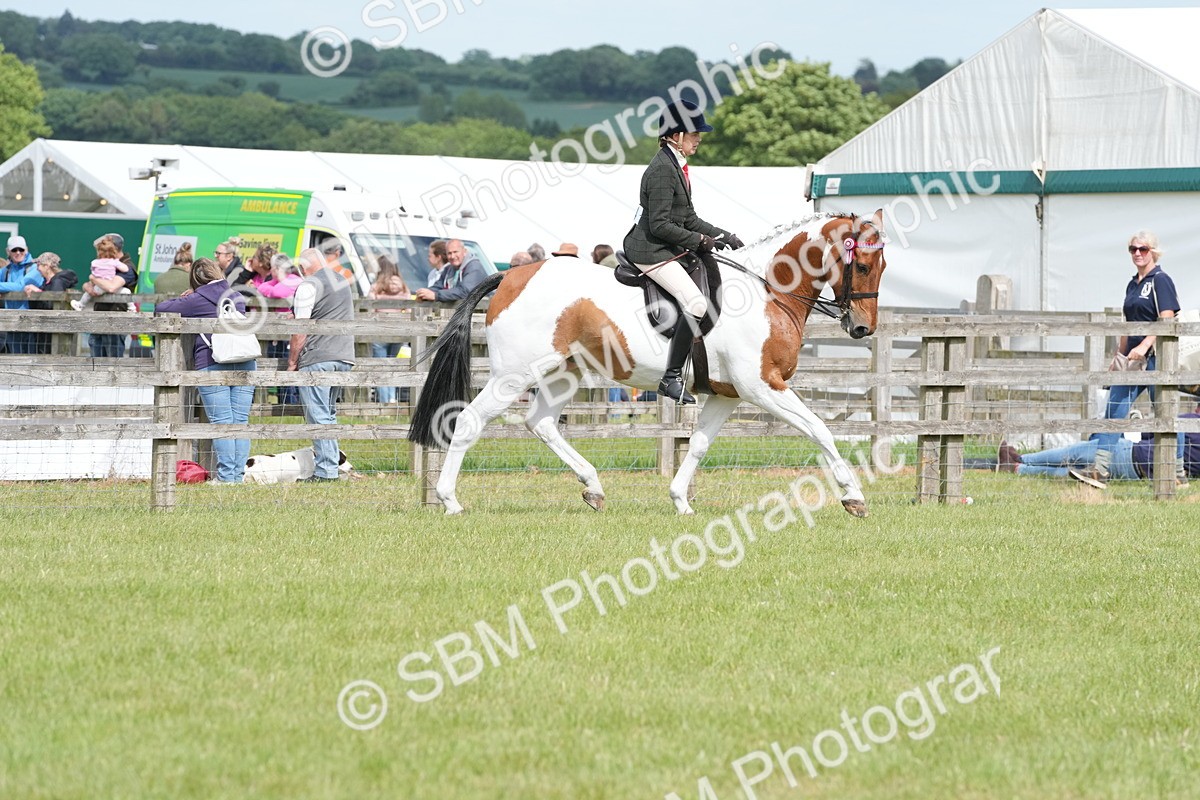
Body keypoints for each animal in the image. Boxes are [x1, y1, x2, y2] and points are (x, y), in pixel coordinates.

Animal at [408, 210, 888, 517]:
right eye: (863, 265)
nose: (863, 328)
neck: (767, 290)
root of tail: (510, 275)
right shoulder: (762, 387)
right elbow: (820, 429)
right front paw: (853, 497)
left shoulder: (729, 395)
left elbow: (698, 444)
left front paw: (680, 500)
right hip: (513, 374)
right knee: (469, 420)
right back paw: (449, 500)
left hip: (563, 372)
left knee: (540, 422)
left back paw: (593, 487)